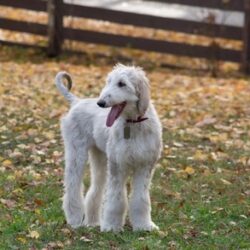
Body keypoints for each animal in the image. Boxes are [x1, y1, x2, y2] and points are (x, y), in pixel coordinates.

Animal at [54, 64, 162, 232]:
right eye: (108, 81)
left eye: (122, 83)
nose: (101, 103)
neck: (133, 123)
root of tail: (77, 102)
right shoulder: (118, 166)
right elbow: (116, 199)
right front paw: (111, 226)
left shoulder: (145, 166)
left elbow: (141, 199)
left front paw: (144, 226)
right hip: (76, 152)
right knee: (72, 187)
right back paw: (75, 219)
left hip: (100, 158)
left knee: (95, 190)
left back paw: (92, 222)